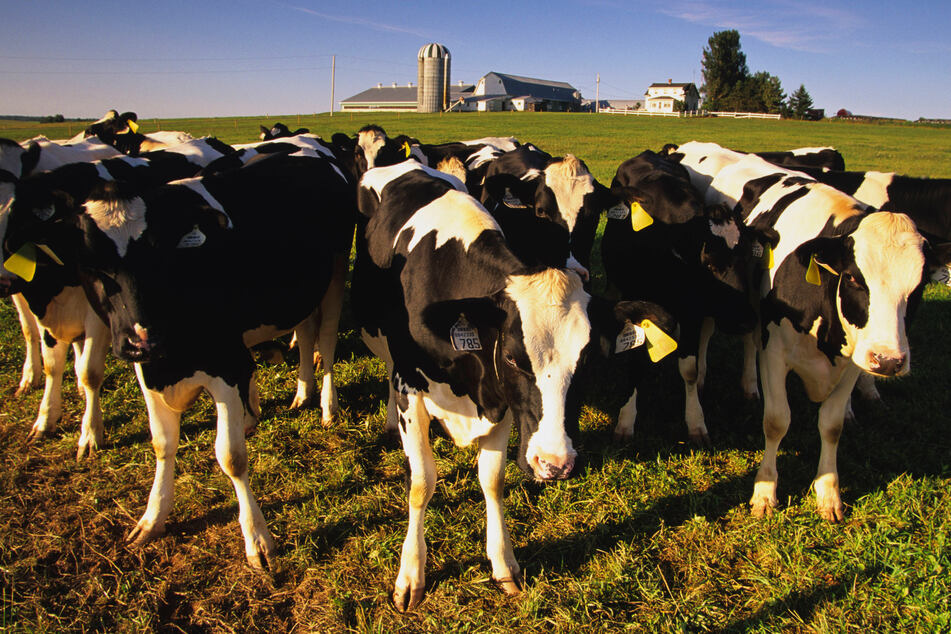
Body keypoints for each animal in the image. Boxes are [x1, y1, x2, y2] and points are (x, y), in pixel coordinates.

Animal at [2, 138, 235, 457]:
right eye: (90, 259)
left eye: (12, 213)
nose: (3, 279)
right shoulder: (36, 295)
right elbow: (49, 357)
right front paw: (45, 418)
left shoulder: (98, 316)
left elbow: (90, 371)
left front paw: (90, 434)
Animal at [24, 150, 355, 566]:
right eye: (92, 265)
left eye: (155, 256)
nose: (142, 338)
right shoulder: (148, 370)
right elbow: (162, 445)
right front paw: (152, 517)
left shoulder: (224, 366)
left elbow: (231, 456)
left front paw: (257, 538)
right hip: (300, 295)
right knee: (307, 333)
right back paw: (301, 393)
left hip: (335, 276)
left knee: (324, 340)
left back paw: (327, 405)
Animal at [352, 160, 665, 610]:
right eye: (515, 358)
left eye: (588, 361)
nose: (554, 464)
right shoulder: (412, 389)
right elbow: (421, 483)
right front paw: (411, 575)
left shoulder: (500, 404)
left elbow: (493, 481)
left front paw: (503, 564)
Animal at [602, 150, 776, 444]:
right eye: (709, 261)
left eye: (746, 256)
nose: (746, 321)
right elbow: (636, 364)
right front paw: (626, 420)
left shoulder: (693, 311)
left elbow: (690, 369)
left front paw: (696, 422)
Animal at [707, 152, 937, 521]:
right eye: (855, 278)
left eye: (919, 286)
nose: (888, 361)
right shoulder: (775, 353)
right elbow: (776, 420)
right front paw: (764, 493)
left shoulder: (854, 361)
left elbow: (831, 425)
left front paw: (828, 495)